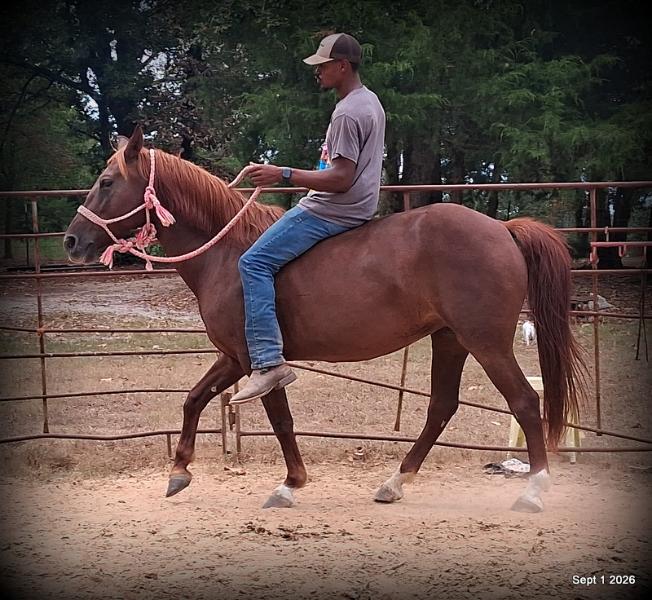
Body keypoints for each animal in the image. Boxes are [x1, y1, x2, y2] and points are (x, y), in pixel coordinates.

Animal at [63, 127, 587, 513]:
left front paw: (289, 484)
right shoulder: (233, 356)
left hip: (486, 342)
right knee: (441, 407)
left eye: (107, 181)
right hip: (450, 339)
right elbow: (194, 400)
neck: (227, 254)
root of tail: (503, 228)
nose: (72, 240)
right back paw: (395, 482)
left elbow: (279, 419)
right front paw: (179, 471)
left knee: (525, 401)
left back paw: (533, 491)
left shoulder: (256, 362)